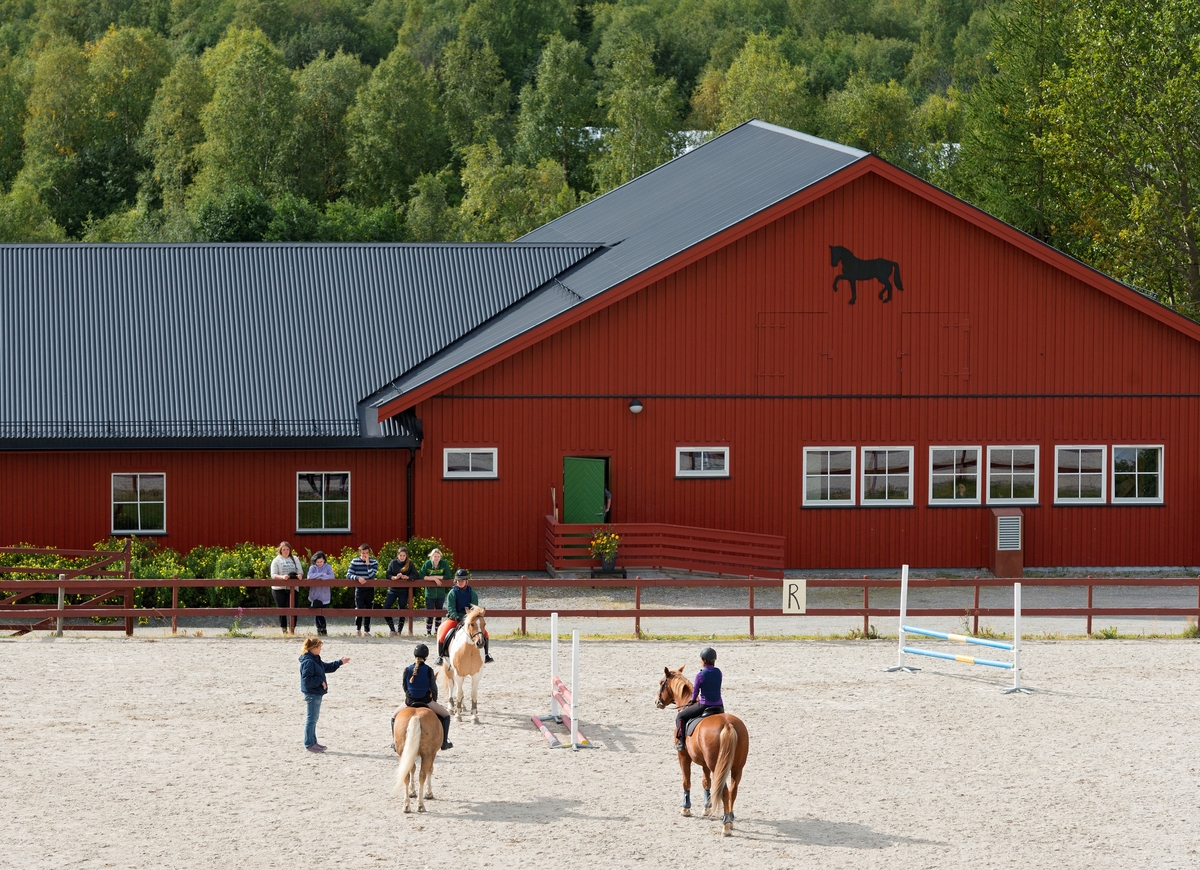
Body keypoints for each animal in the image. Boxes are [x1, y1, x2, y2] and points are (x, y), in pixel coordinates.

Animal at [657, 667, 748, 835]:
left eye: (661, 682)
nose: (657, 701)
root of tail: (728, 724)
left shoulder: (683, 756)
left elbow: (686, 781)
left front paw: (686, 809)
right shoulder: (705, 763)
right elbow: (706, 782)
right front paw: (707, 807)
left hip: (716, 765)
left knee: (724, 791)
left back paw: (726, 824)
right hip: (737, 767)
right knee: (733, 790)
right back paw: (730, 818)